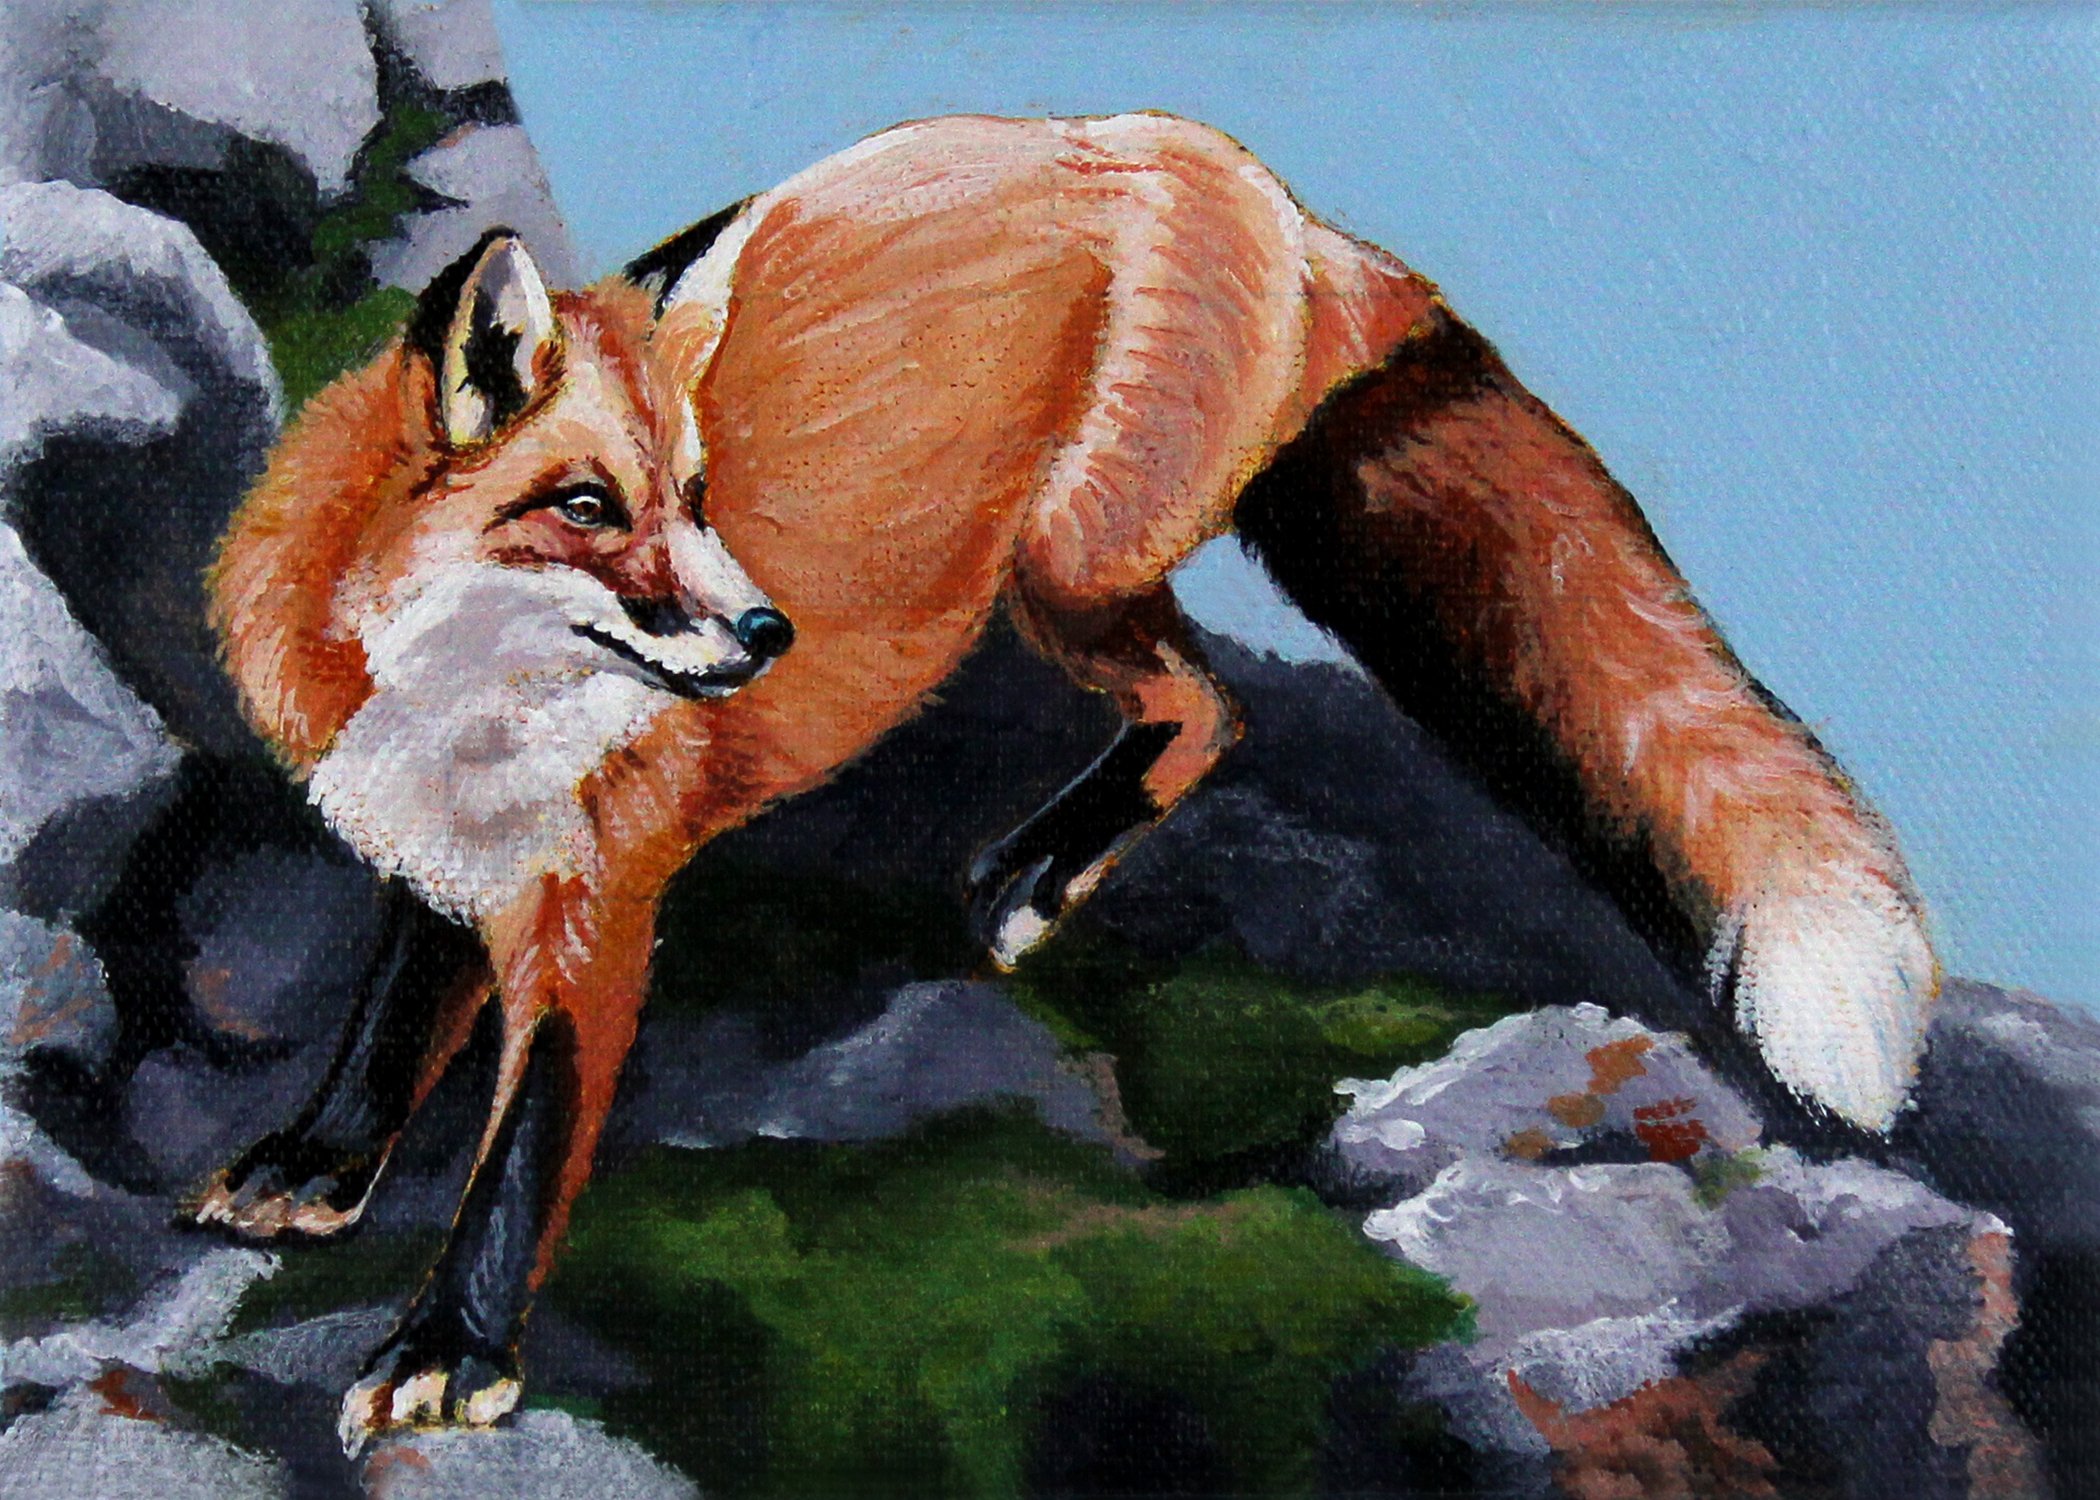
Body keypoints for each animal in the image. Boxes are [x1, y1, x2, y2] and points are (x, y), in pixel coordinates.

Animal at [195, 111, 1937, 1449]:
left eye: (694, 495)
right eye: (583, 505)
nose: (767, 632)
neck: (465, 716)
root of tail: (1236, 177)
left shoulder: (598, 910)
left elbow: (522, 1152)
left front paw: (452, 1356)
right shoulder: (443, 848)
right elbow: (392, 1024)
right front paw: (315, 1169)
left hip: (1061, 568)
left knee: (1213, 701)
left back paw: (1040, 873)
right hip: (1067, 580)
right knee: (1208, 700)